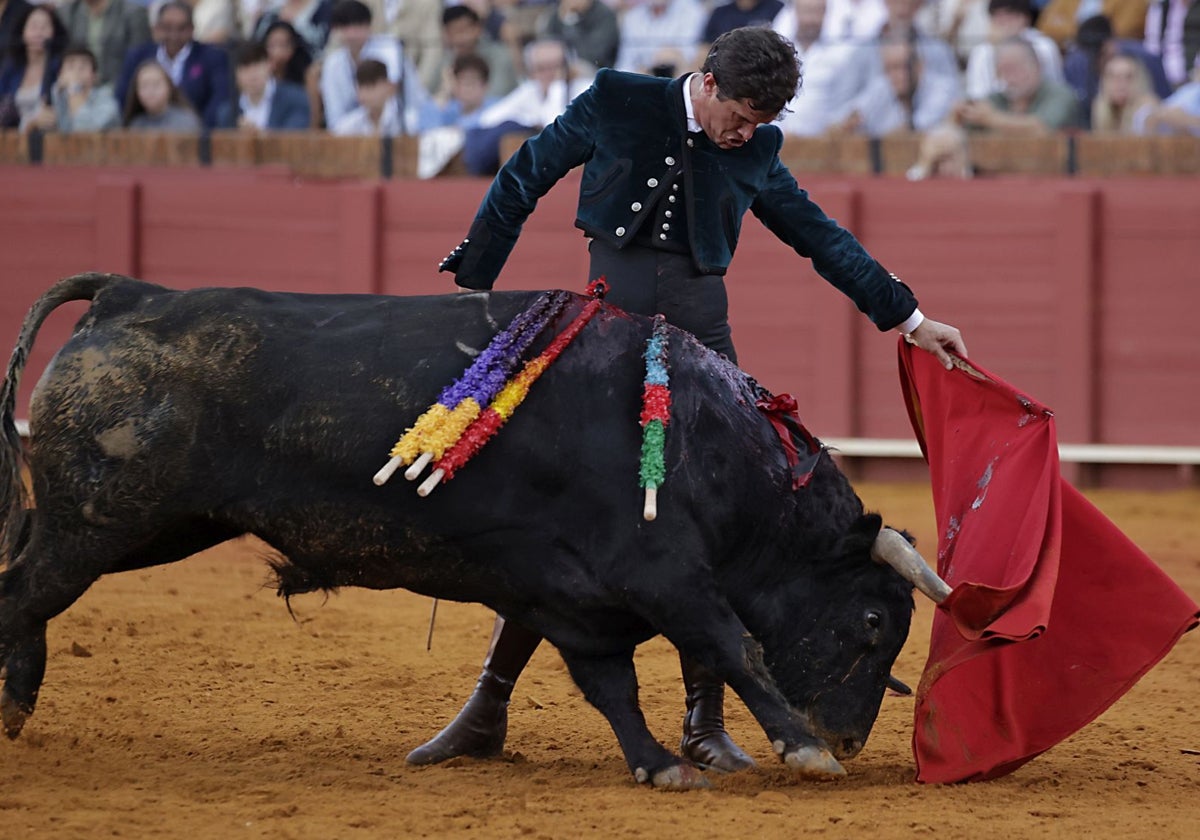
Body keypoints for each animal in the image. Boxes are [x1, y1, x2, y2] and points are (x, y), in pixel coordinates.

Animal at [0, 276, 926, 787]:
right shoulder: (666, 577)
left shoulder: (573, 598)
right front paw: (803, 751)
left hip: (156, 527)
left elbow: (613, 686)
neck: (704, 443)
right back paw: (12, 706)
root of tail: (128, 295)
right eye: (872, 620)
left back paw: (16, 706)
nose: (850, 737)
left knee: (22, 585)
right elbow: (735, 648)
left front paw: (661, 764)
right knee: (23, 591)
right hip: (104, 521)